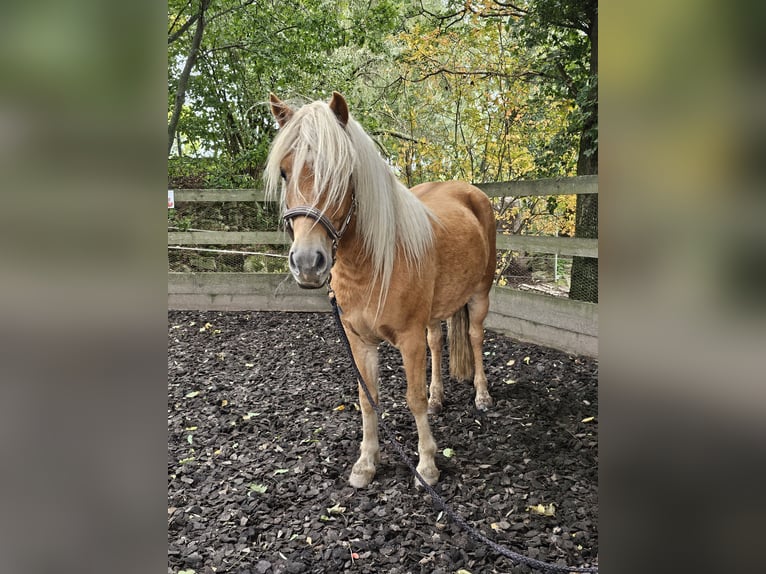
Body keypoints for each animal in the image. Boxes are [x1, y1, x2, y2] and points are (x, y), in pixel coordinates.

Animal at [268, 92, 498, 488]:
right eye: (285, 172)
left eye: (341, 173)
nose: (308, 263)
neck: (374, 264)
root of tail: (472, 193)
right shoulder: (359, 341)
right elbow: (367, 397)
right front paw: (366, 463)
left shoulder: (408, 339)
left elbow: (413, 398)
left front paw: (427, 465)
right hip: (435, 312)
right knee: (437, 341)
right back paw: (439, 396)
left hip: (480, 295)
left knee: (474, 336)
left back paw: (481, 396)